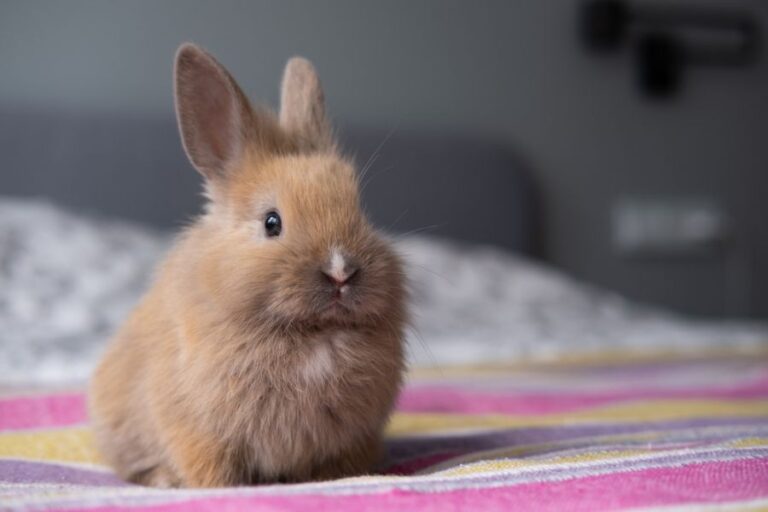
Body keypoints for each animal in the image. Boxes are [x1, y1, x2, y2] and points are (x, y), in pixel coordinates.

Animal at [88, 43, 406, 488]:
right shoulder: (199, 433)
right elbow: (215, 474)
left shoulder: (351, 440)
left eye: (360, 211)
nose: (341, 272)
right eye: (272, 222)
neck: (310, 333)